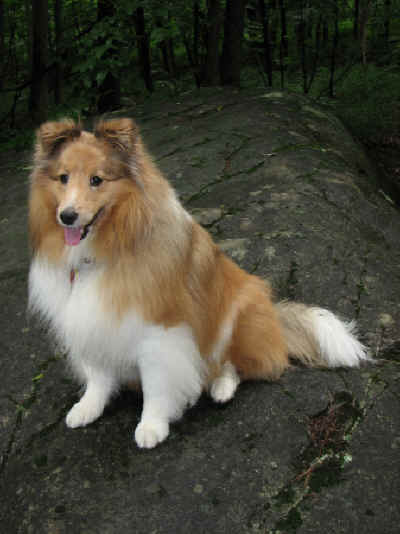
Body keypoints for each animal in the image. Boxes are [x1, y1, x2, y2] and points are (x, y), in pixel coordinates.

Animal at [28, 119, 370, 450]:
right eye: (63, 178)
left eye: (97, 180)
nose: (67, 216)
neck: (107, 249)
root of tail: (275, 318)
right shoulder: (89, 321)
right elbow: (98, 377)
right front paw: (87, 407)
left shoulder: (159, 330)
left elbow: (156, 385)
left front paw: (151, 426)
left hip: (239, 312)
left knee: (236, 364)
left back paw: (221, 387)